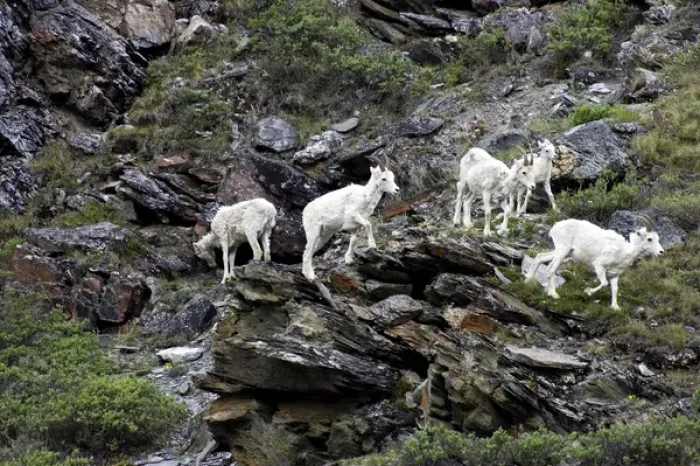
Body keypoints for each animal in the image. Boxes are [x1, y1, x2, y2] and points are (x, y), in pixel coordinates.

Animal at [524, 215, 664, 310]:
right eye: (649, 239)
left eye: (657, 238)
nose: (661, 252)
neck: (624, 252)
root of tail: (555, 227)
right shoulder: (599, 266)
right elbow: (604, 283)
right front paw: (588, 292)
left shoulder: (614, 275)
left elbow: (614, 289)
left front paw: (615, 307)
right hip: (562, 251)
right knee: (551, 269)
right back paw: (554, 294)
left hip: (563, 252)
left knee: (540, 257)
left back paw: (528, 281)